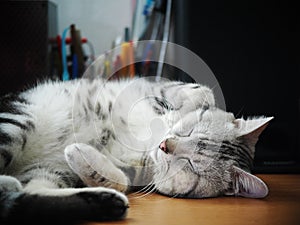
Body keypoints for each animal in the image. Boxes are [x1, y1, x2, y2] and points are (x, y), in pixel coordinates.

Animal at [0, 78, 272, 222]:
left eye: (190, 164)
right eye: (190, 132)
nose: (164, 145)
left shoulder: (136, 172)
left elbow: (120, 179)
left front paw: (81, 154)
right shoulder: (160, 87)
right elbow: (204, 93)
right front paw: (176, 113)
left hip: (48, 170)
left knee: (25, 198)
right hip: (18, 120)